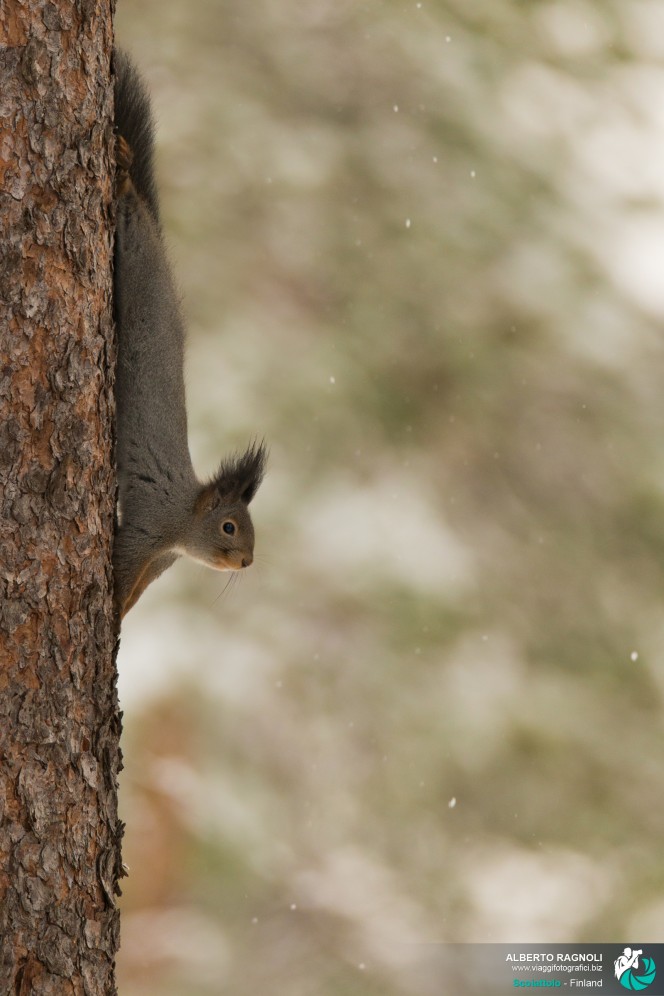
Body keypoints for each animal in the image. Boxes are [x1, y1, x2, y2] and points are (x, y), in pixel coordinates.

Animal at [111, 50, 264, 620]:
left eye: (250, 533)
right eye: (229, 527)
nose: (246, 562)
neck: (184, 525)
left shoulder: (162, 559)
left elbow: (138, 590)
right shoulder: (148, 528)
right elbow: (121, 570)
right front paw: (110, 614)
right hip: (134, 261)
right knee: (130, 205)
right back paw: (124, 173)